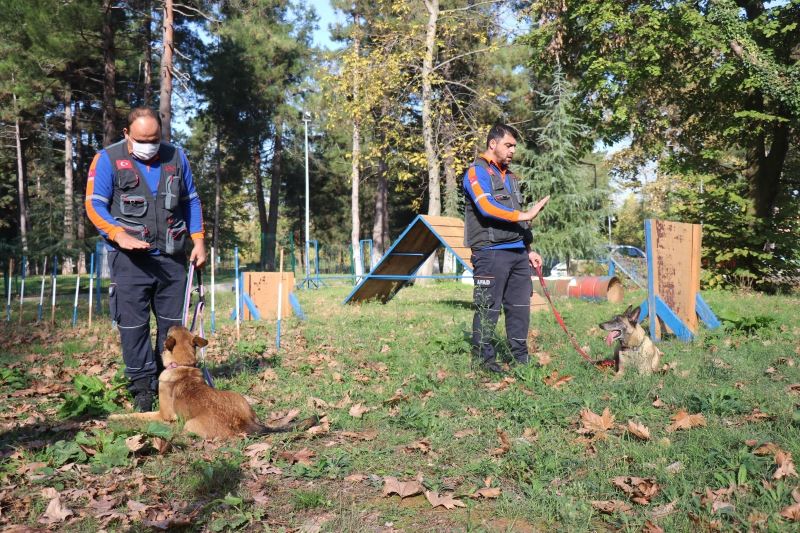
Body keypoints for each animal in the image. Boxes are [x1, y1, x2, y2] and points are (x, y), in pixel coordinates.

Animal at [108, 322, 318, 438]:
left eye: (169, 333)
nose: (172, 323)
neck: (183, 365)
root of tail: (242, 422)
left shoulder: (163, 415)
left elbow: (137, 416)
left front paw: (113, 417)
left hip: (189, 425)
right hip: (238, 397)